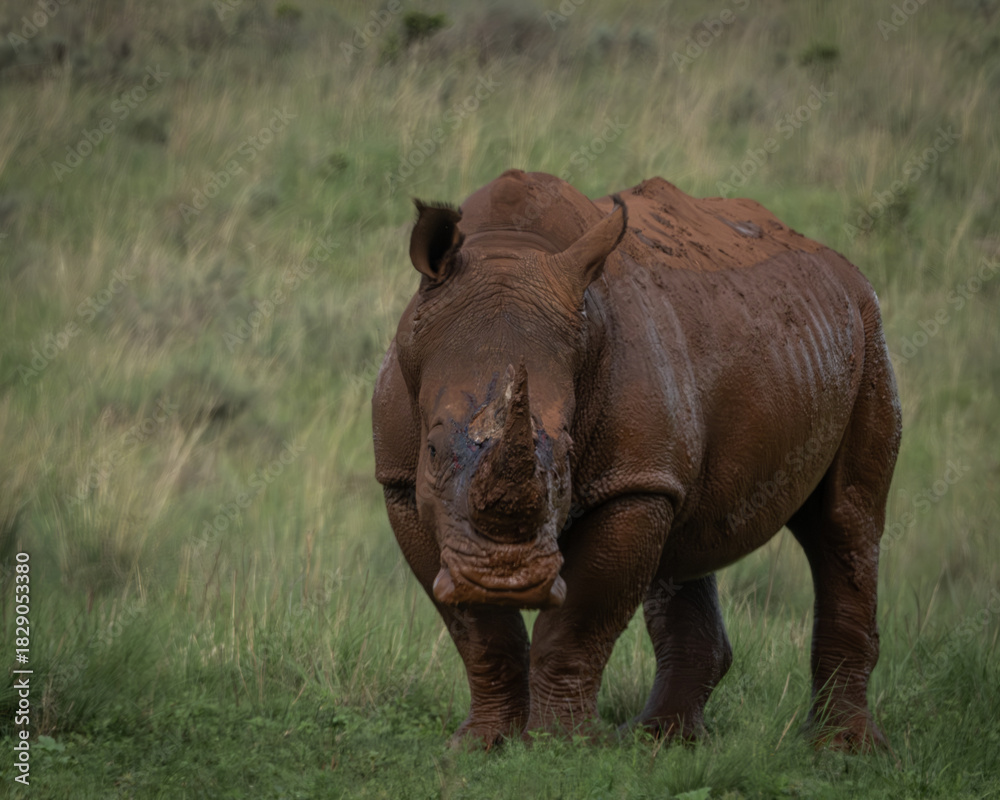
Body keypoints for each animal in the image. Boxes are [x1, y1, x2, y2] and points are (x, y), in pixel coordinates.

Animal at [372, 169, 901, 751]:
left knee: (845, 523)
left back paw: (841, 749)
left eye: (568, 455)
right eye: (433, 451)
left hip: (869, 330)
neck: (508, 247)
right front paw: (479, 745)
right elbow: (479, 633)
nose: (505, 577)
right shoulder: (401, 482)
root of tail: (838, 262)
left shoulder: (632, 483)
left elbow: (578, 621)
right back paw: (661, 741)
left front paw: (559, 747)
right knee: (688, 541)